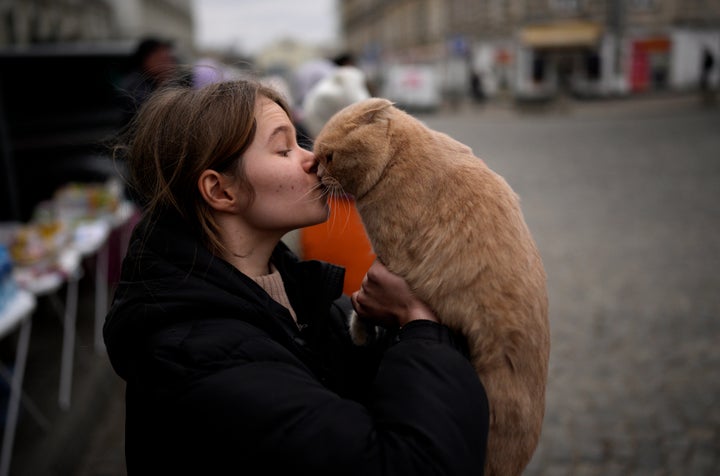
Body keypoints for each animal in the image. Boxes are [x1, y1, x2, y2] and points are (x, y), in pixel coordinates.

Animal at [312, 97, 548, 476]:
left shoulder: (390, 258)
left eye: (329, 157)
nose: (318, 175)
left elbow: (362, 300)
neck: (398, 156)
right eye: (316, 159)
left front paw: (360, 331)